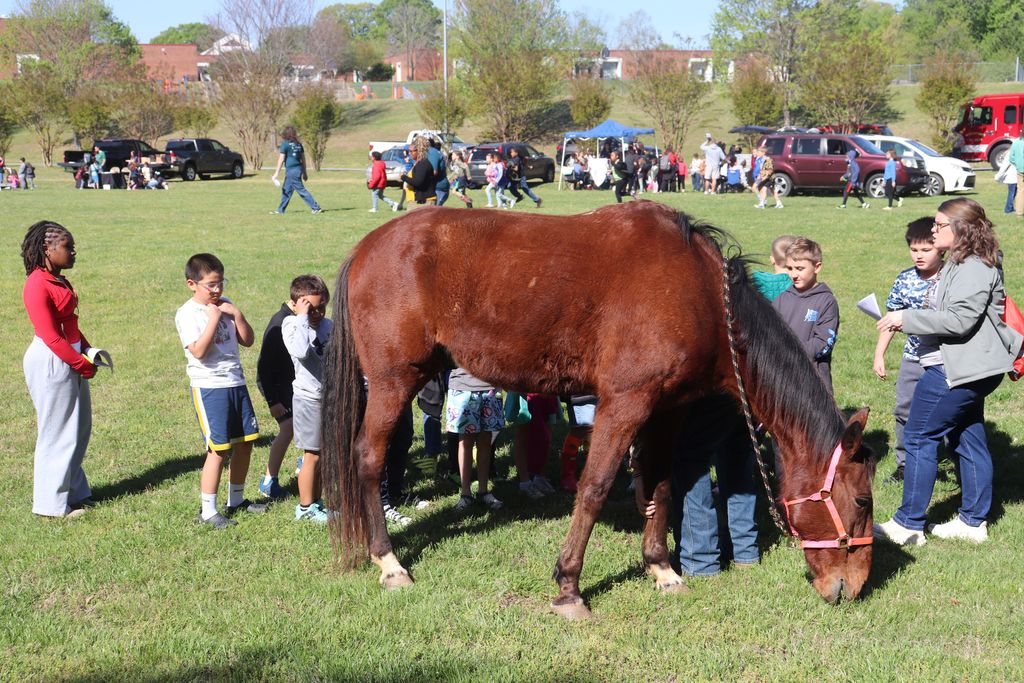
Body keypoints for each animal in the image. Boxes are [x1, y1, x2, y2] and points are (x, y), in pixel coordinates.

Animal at [321, 201, 875, 619]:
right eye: (863, 502)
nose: (852, 588)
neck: (699, 292)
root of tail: (367, 246)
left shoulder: (667, 409)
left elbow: (662, 485)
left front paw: (661, 568)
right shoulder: (625, 401)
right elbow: (593, 487)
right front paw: (569, 588)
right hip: (395, 381)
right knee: (367, 458)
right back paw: (389, 562)